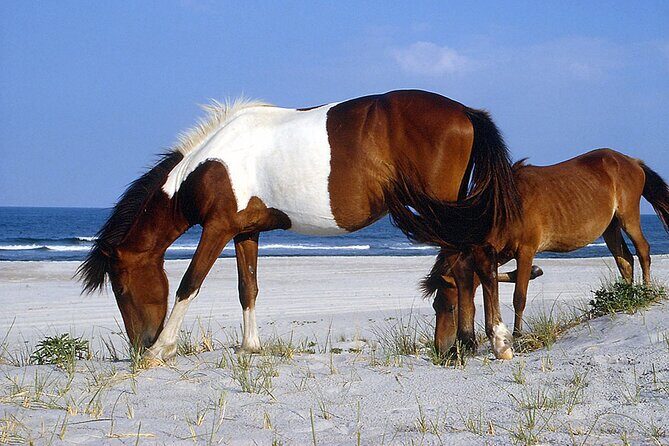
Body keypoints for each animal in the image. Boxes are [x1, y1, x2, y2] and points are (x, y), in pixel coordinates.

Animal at [77, 90, 522, 365]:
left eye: (120, 286)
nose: (139, 346)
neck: (209, 165)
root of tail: (465, 112)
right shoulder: (245, 232)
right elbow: (248, 287)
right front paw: (250, 347)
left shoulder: (217, 229)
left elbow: (190, 283)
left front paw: (162, 350)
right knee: (464, 270)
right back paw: (461, 344)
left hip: (450, 213)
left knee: (480, 261)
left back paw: (498, 342)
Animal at [415, 148, 669, 354]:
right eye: (435, 307)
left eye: (451, 307)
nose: (440, 349)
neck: (506, 208)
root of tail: (632, 161)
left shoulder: (526, 251)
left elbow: (519, 297)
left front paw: (517, 335)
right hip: (610, 228)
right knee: (624, 260)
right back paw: (626, 297)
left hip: (628, 218)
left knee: (642, 251)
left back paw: (646, 292)